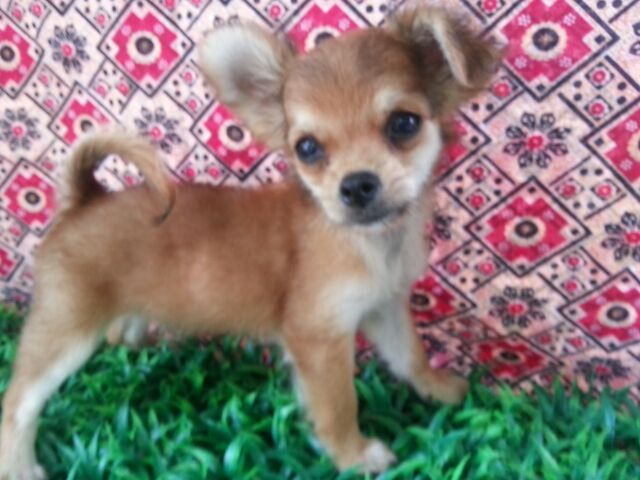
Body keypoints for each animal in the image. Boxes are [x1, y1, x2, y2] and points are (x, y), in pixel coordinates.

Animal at [0, 5, 499, 478]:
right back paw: (20, 464)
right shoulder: (318, 339)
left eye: (403, 123)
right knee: (19, 400)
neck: (373, 243)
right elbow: (339, 406)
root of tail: (84, 200)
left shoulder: (385, 307)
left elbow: (410, 356)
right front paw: (355, 456)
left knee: (119, 333)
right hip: (65, 328)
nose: (357, 186)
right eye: (307, 148)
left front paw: (438, 388)